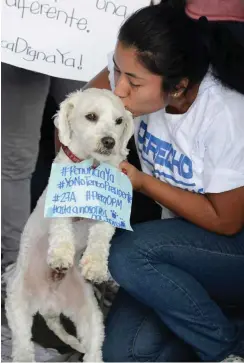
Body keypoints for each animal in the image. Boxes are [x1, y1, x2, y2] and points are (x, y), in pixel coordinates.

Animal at [4, 89, 133, 363]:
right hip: (17, 304)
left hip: (91, 316)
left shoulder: (109, 211)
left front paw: (96, 265)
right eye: (91, 116)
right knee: (23, 346)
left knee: (94, 349)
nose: (109, 141)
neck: (91, 167)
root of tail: (49, 306)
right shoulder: (60, 203)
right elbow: (62, 230)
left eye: (119, 121)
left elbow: (101, 237)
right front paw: (61, 255)